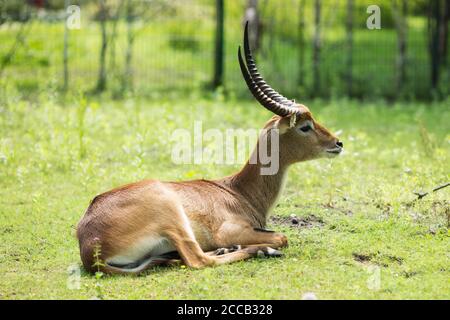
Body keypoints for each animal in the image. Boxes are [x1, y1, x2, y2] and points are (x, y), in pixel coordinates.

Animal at [78, 23, 344, 276]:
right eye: (305, 126)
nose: (338, 143)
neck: (239, 192)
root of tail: (89, 247)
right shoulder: (229, 230)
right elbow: (282, 236)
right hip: (173, 218)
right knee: (198, 260)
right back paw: (257, 250)